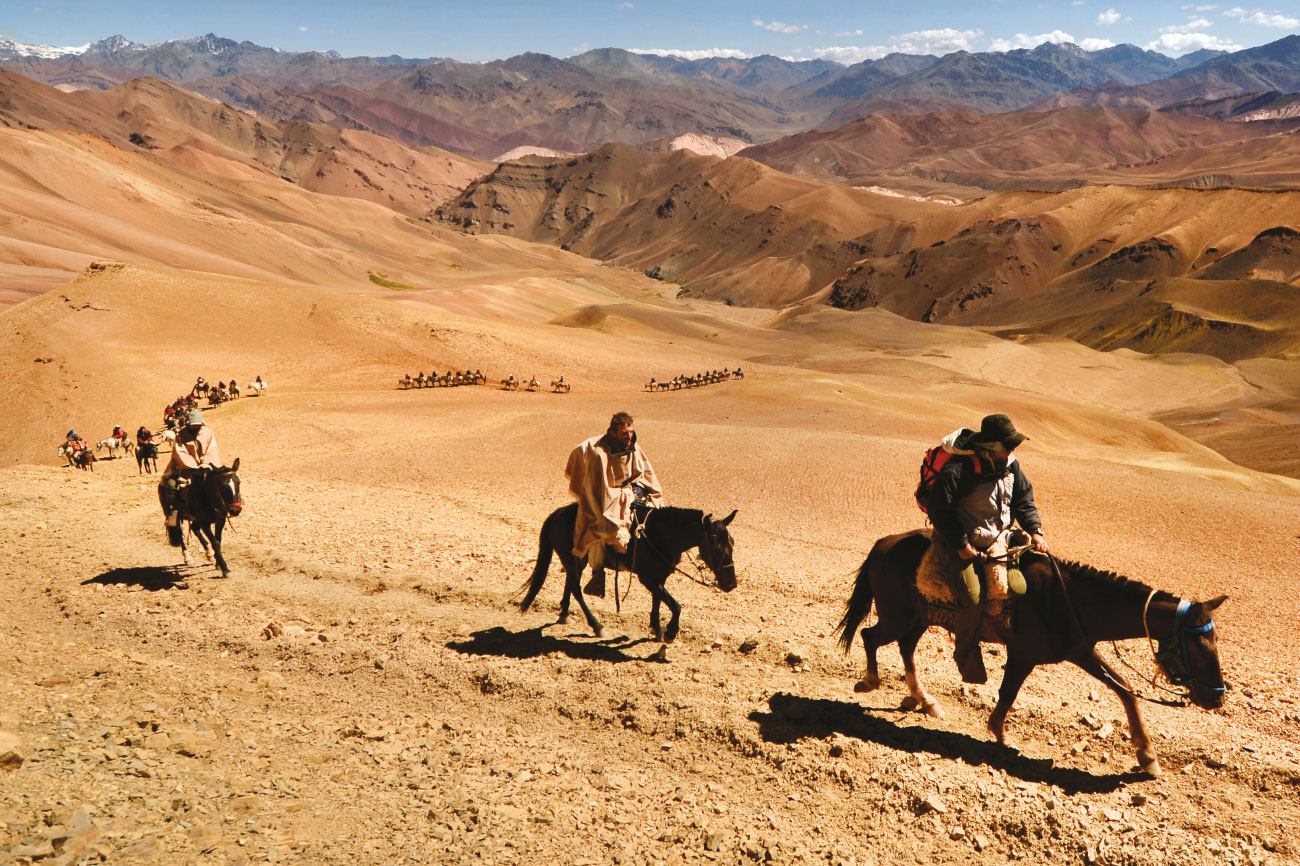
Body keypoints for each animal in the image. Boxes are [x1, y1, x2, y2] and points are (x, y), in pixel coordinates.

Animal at [520, 501, 743, 637]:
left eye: (732, 542)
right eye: (715, 544)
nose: (731, 584)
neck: (658, 534)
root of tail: (557, 514)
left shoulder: (659, 577)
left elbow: (659, 600)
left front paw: (657, 628)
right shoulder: (647, 577)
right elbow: (675, 605)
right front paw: (670, 632)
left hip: (574, 561)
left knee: (570, 584)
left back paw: (565, 614)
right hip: (574, 559)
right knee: (576, 589)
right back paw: (597, 626)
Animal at [832, 530, 1227, 769]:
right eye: (1199, 644)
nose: (1218, 697)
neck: (1069, 600)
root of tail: (882, 544)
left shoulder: (1080, 649)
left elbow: (1124, 688)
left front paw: (1147, 756)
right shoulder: (1025, 654)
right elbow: (1008, 694)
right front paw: (1001, 737)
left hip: (917, 619)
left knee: (903, 648)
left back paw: (924, 701)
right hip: (898, 615)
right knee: (869, 636)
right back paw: (869, 683)